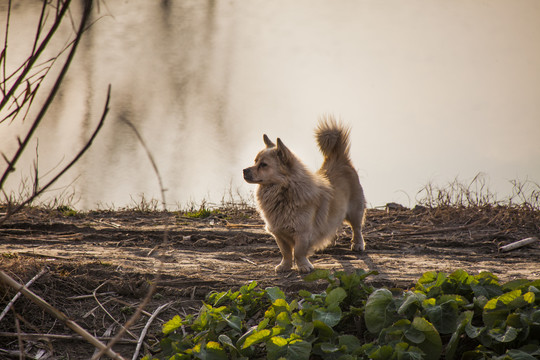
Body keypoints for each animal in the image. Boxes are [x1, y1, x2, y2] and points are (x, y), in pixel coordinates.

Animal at [244, 115, 368, 272]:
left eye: (263, 165)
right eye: (255, 162)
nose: (244, 170)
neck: (283, 192)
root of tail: (339, 158)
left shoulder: (302, 234)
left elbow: (298, 252)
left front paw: (303, 266)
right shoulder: (279, 234)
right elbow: (285, 252)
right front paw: (285, 266)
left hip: (355, 211)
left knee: (357, 228)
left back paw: (358, 244)